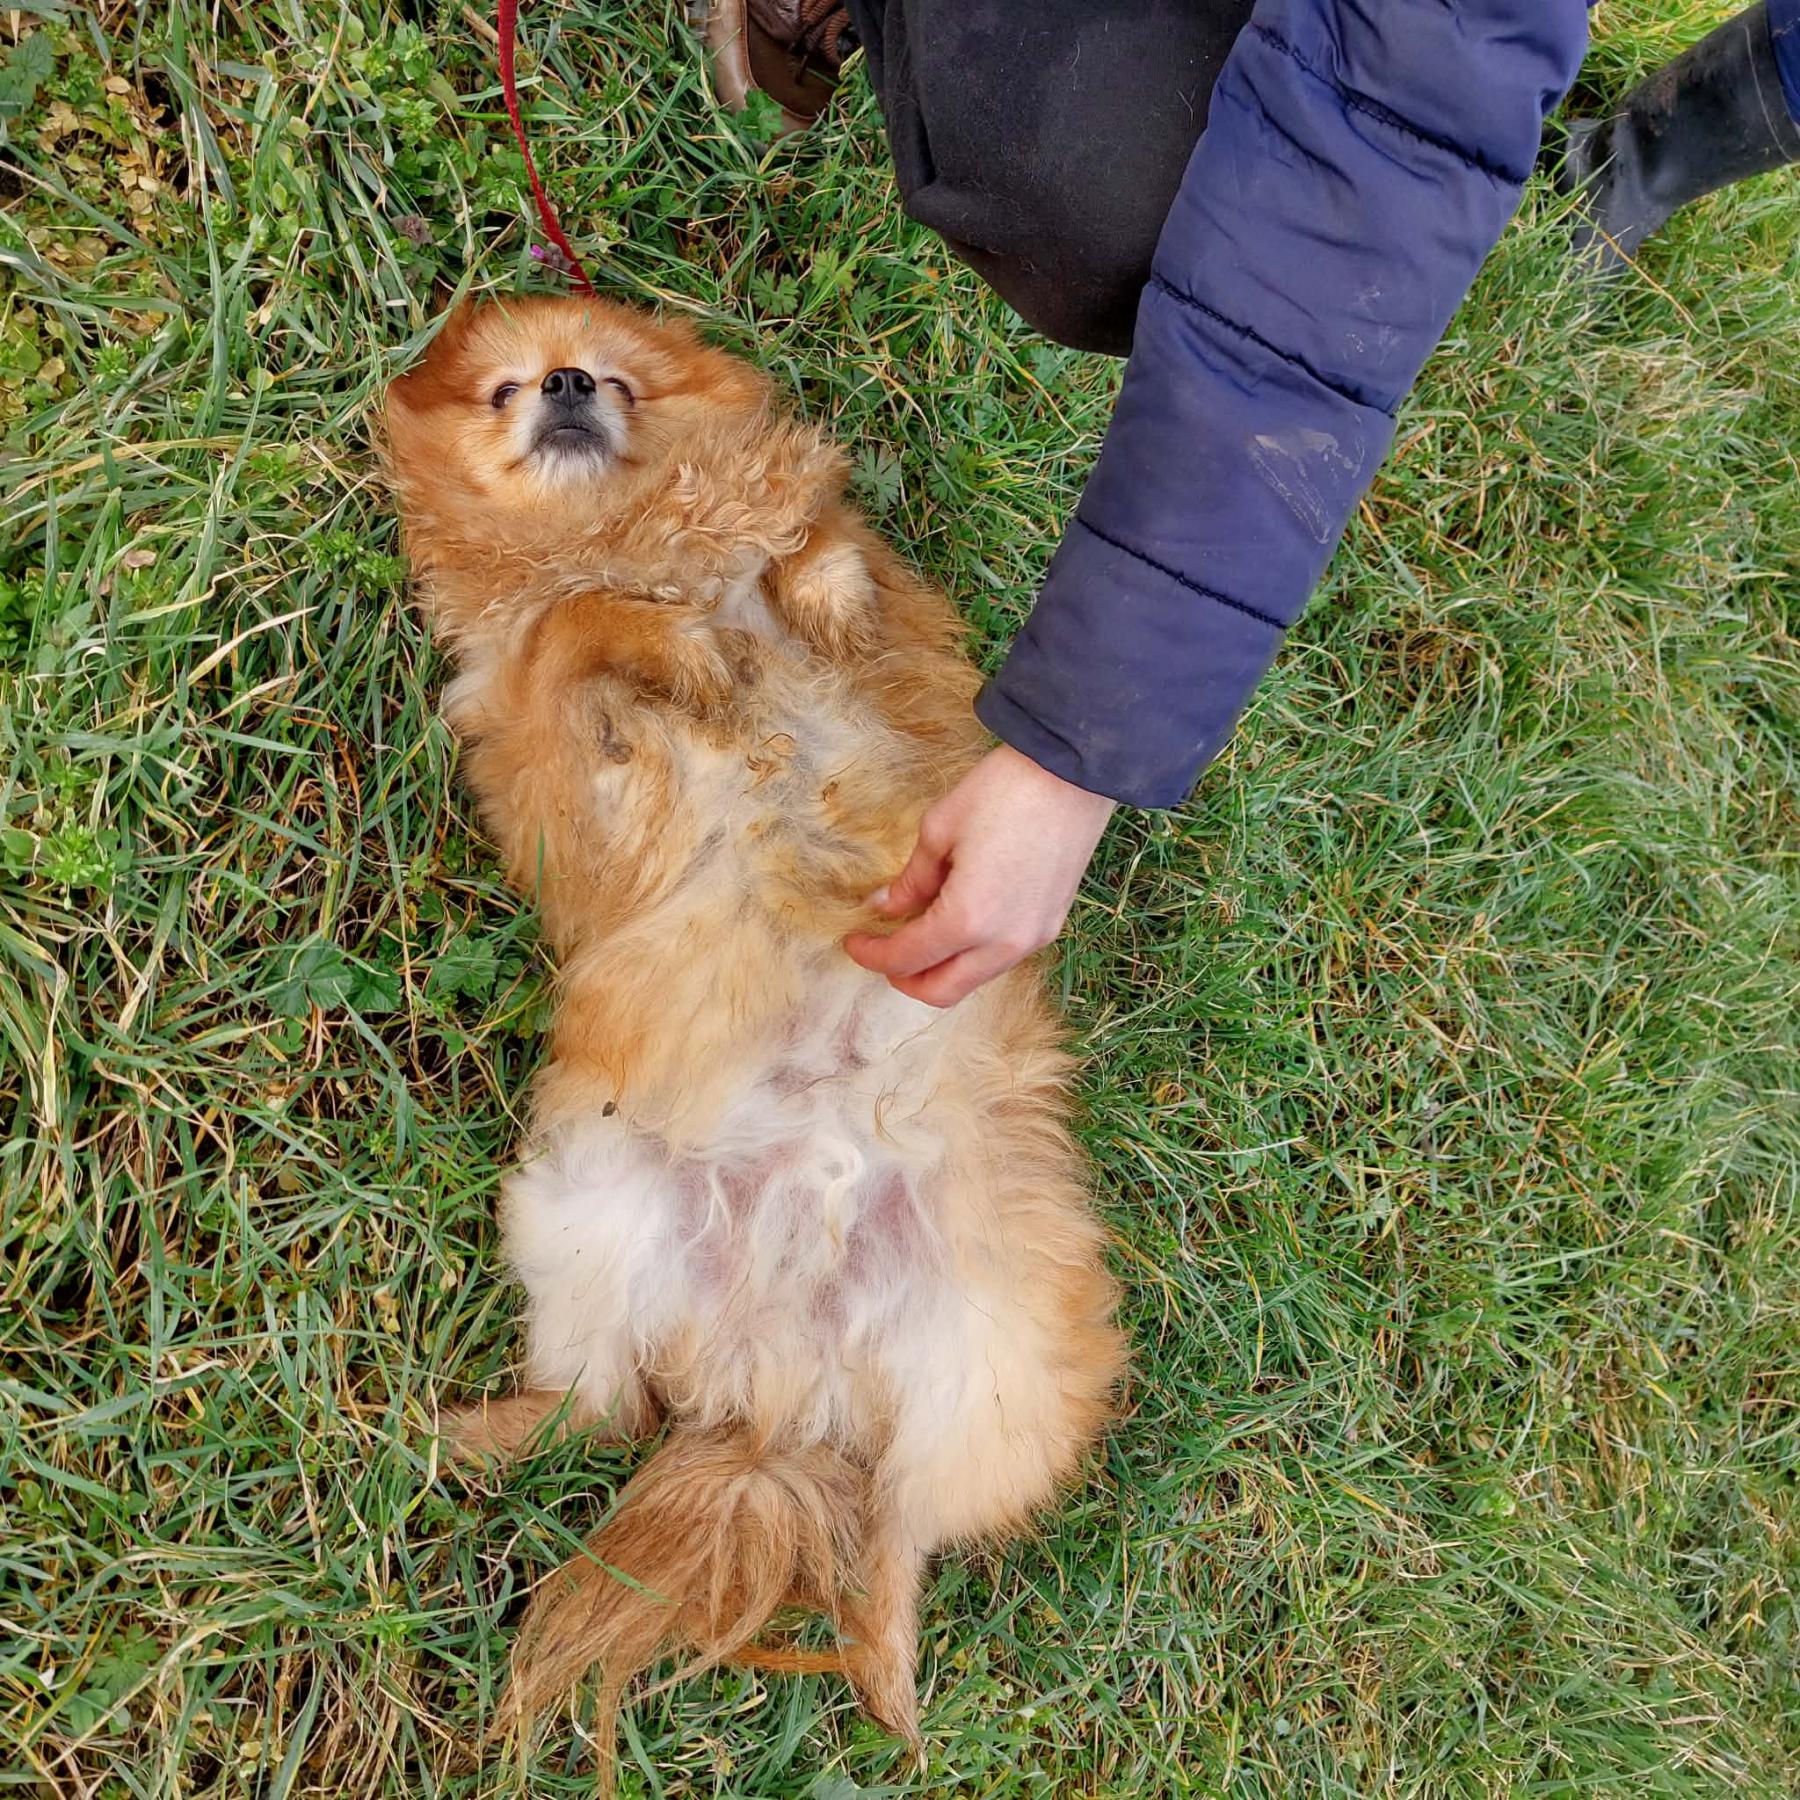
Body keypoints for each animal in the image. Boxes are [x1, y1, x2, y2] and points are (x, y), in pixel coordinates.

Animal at [383, 295, 1123, 1786]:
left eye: (611, 376)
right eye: (499, 395)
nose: (562, 384)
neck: (632, 532)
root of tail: (782, 1389)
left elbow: (820, 559)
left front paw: (791, 595)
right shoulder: (576, 769)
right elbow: (576, 634)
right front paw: (677, 649)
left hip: (1000, 1372)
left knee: (895, 1527)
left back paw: (889, 1677)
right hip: (585, 1212)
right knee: (601, 1409)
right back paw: (459, 1437)